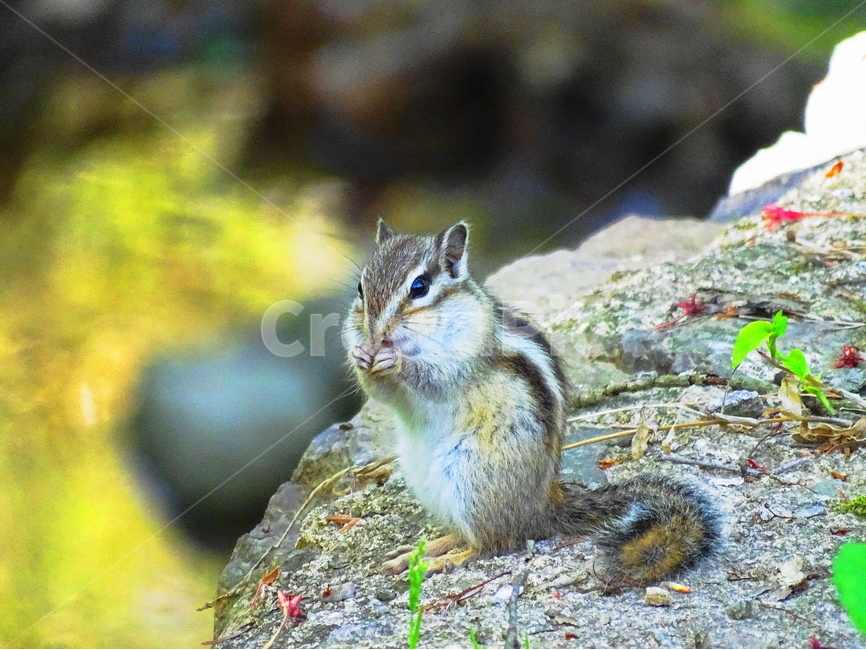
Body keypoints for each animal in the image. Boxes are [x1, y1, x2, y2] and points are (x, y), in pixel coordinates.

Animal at [342, 220, 722, 584]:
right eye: (360, 288)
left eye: (419, 288)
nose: (374, 334)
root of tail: (541, 508)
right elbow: (381, 392)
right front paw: (361, 356)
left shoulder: (467, 355)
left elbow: (436, 378)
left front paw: (396, 362)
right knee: (468, 533)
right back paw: (421, 551)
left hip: (470, 477)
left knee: (492, 541)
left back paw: (445, 559)